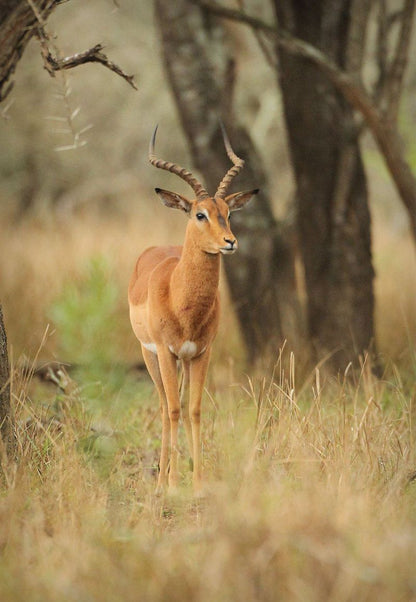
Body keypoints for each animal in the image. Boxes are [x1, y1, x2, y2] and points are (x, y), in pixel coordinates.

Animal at [127, 125, 256, 492]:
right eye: (200, 214)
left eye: (228, 212)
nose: (230, 242)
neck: (180, 301)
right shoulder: (166, 351)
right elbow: (171, 409)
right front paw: (171, 484)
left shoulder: (201, 352)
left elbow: (195, 409)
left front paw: (198, 481)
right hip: (150, 356)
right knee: (163, 405)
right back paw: (161, 480)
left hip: (182, 361)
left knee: (181, 405)